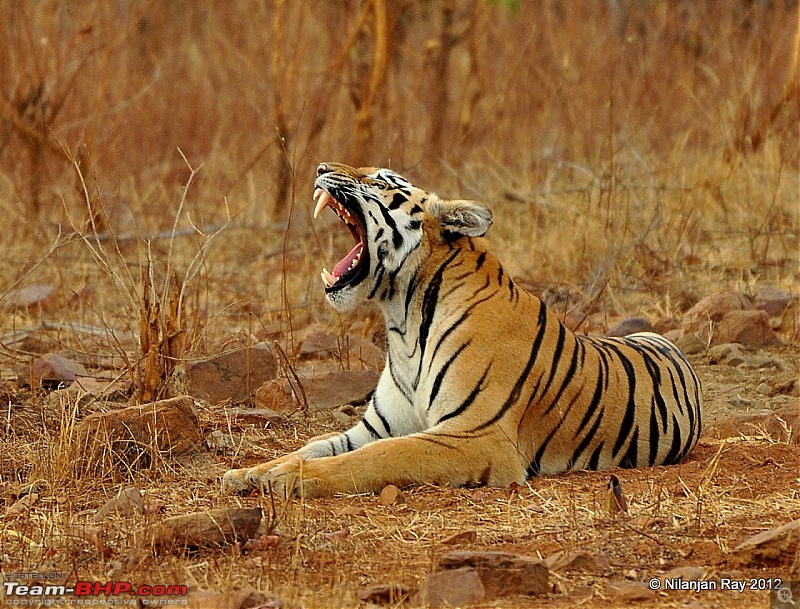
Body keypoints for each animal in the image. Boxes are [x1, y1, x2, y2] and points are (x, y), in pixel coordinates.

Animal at [222, 163, 704, 498]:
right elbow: (316, 444)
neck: (402, 322)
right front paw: (251, 472)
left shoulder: (476, 435)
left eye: (379, 179)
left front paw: (288, 478)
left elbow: (380, 457)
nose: (321, 168)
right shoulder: (375, 426)